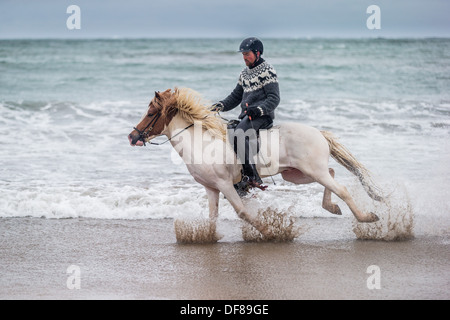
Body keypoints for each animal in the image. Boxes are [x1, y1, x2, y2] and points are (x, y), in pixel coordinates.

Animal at [127, 89, 384, 239]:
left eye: (150, 113)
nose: (132, 136)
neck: (200, 142)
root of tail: (318, 133)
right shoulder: (211, 188)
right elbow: (212, 216)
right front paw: (209, 238)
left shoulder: (225, 185)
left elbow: (242, 212)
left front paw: (270, 232)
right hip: (299, 174)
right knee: (332, 174)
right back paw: (333, 207)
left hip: (312, 170)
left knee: (342, 189)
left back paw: (367, 218)